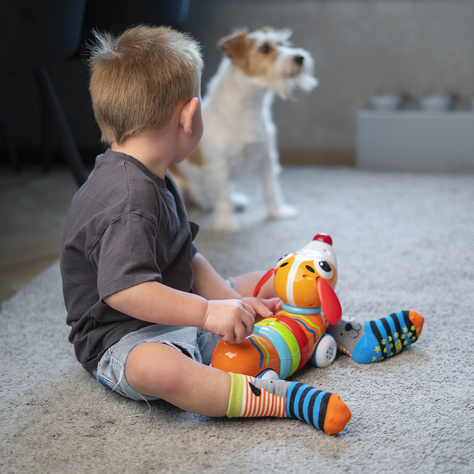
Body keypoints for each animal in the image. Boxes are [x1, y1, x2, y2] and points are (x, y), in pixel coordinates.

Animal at [172, 27, 316, 231]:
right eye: (265, 48)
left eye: (283, 44)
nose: (300, 57)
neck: (250, 108)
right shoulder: (219, 166)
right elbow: (223, 194)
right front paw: (226, 225)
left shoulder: (267, 158)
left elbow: (271, 188)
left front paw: (277, 213)